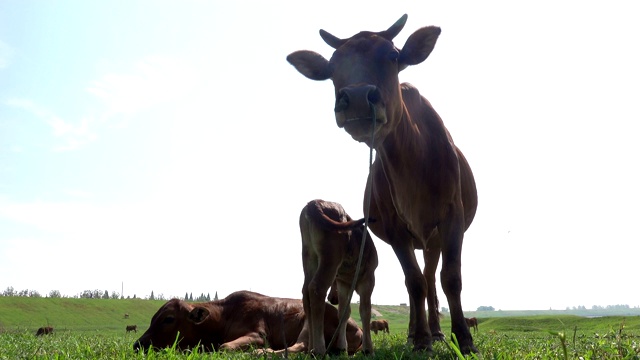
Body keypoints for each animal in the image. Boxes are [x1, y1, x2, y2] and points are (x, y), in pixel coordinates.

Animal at [132, 290, 362, 354]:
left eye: (168, 319)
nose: (137, 344)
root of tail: (358, 329)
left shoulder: (257, 334)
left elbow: (224, 347)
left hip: (309, 320)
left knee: (302, 347)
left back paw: (262, 352)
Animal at [288, 12, 478, 352]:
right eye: (333, 68)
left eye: (393, 56)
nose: (357, 98)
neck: (413, 164)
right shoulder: (394, 227)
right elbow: (413, 282)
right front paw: (420, 340)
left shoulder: (451, 216)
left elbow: (450, 278)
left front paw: (463, 339)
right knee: (419, 281)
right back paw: (417, 331)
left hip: (432, 239)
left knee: (432, 278)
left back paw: (437, 330)